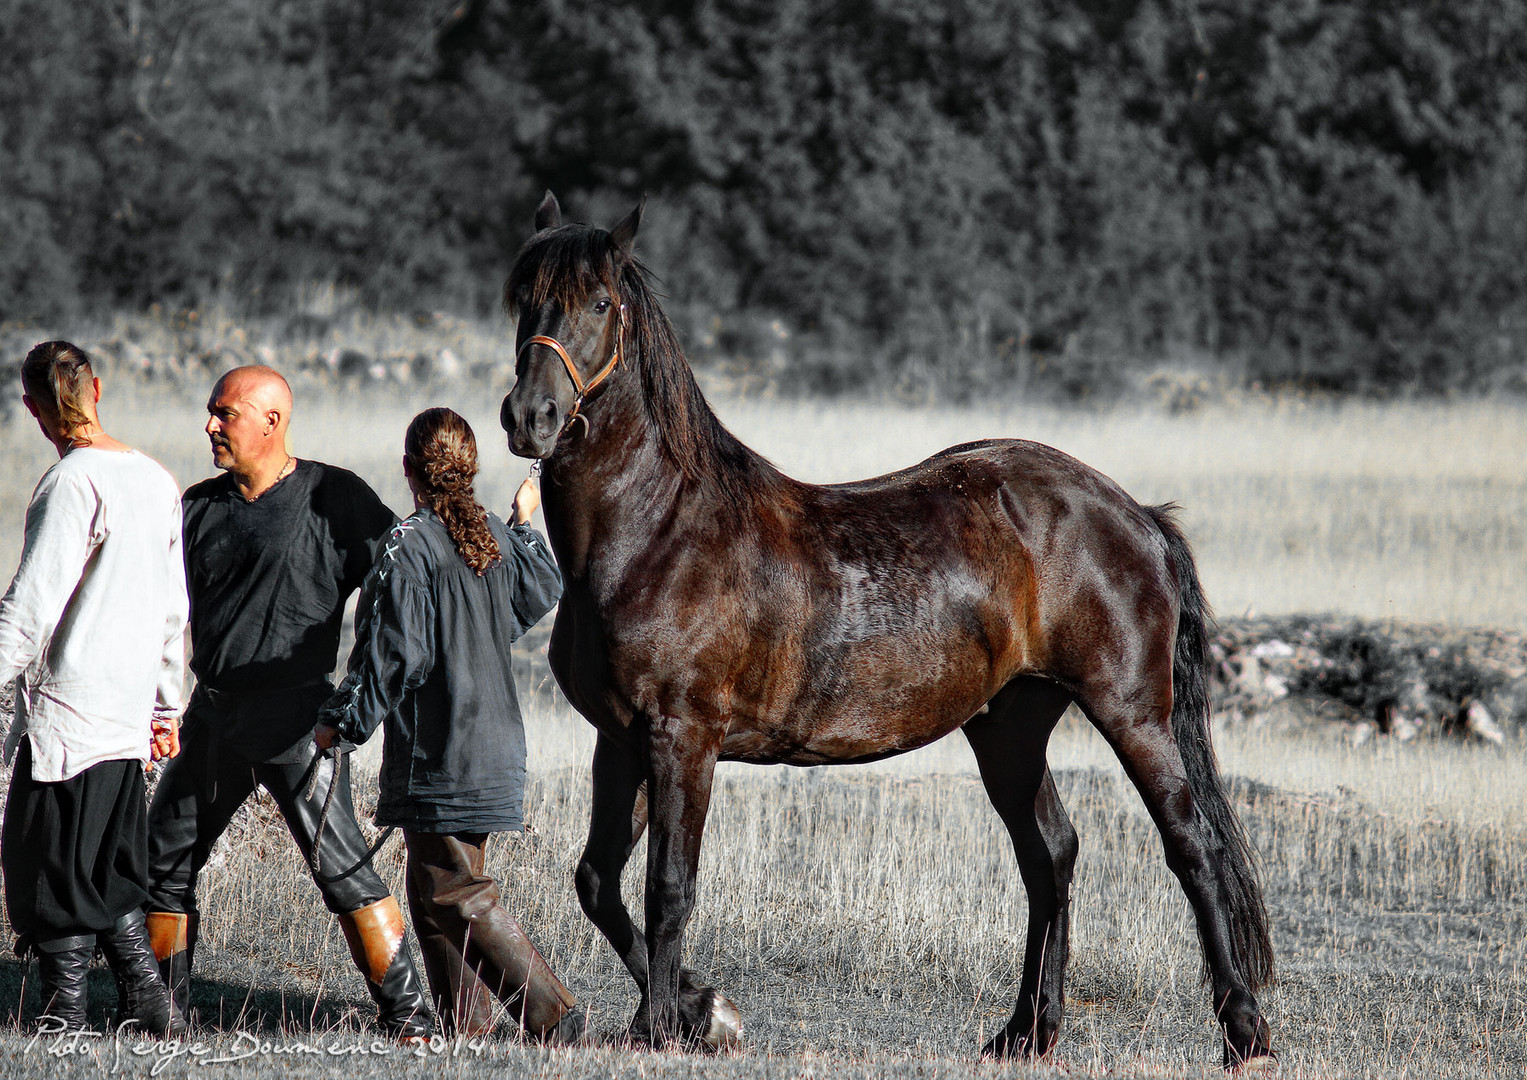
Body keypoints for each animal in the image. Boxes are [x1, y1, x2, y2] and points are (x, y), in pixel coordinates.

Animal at [500, 192, 1276, 1063]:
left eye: (601, 303)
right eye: (523, 297)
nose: (529, 417)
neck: (657, 531)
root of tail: (1133, 513)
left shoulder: (681, 739)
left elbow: (669, 884)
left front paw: (664, 1025)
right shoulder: (622, 739)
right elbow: (597, 881)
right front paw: (698, 1009)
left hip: (1131, 713)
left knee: (1191, 847)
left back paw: (1242, 1031)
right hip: (1009, 724)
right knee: (1048, 856)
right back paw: (1026, 1031)